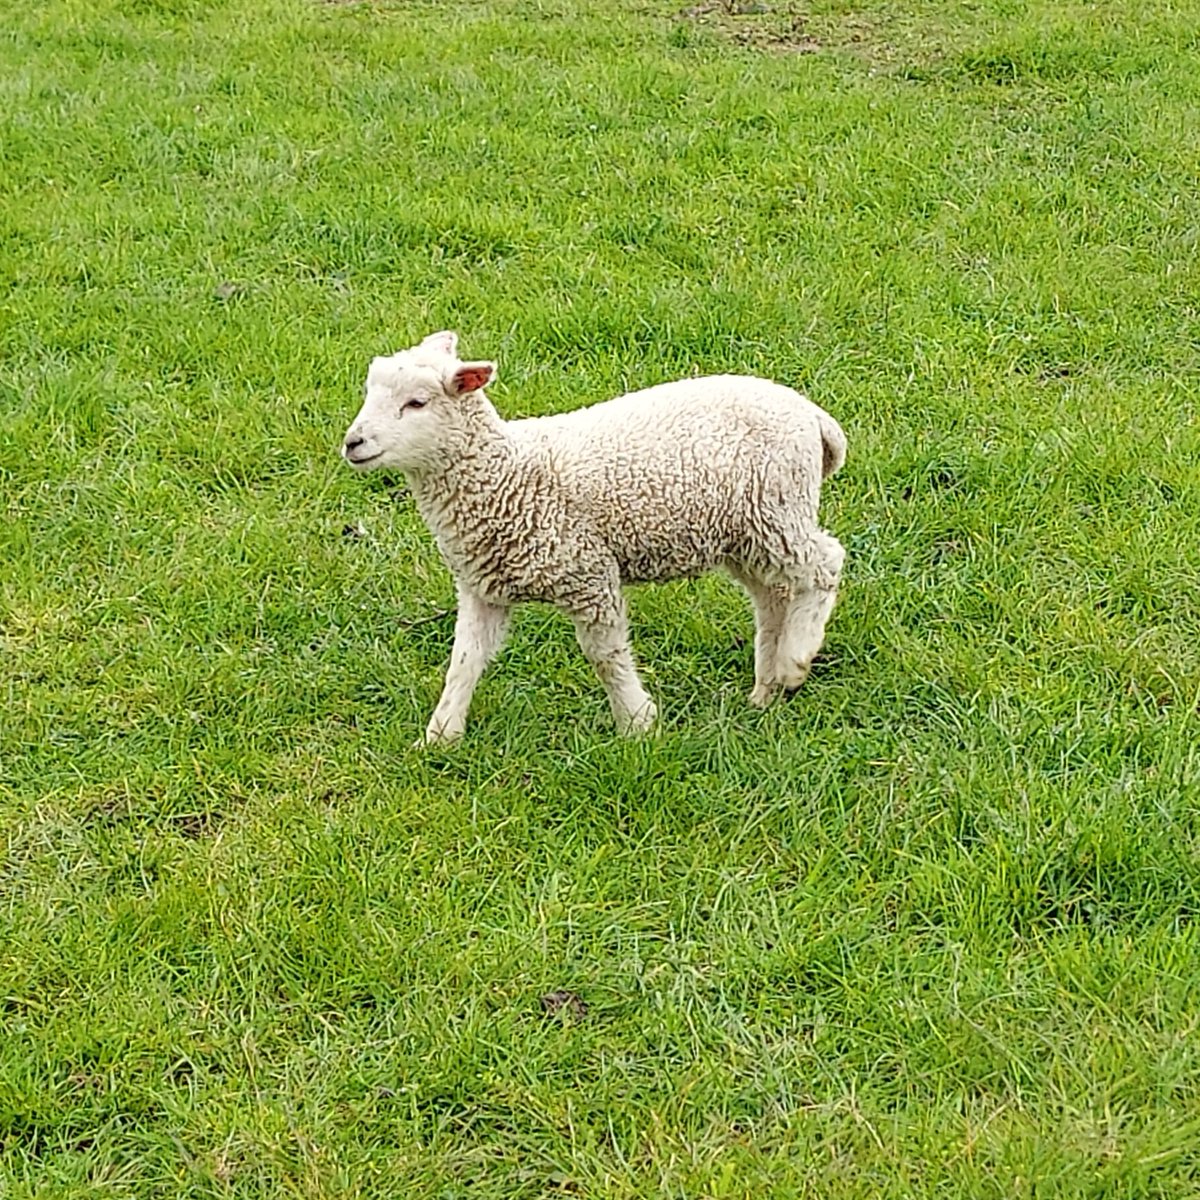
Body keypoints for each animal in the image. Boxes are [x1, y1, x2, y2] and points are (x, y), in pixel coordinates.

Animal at [338, 328, 844, 739]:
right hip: (748, 535)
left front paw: (637, 723)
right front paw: (441, 735)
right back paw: (767, 687)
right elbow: (464, 661)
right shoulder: (483, 588)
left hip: (777, 509)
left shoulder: (587, 573)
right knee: (774, 597)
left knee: (826, 564)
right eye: (368, 392)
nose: (352, 442)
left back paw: (796, 661)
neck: (509, 475)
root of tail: (814, 416)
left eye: (416, 403)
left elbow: (606, 656)